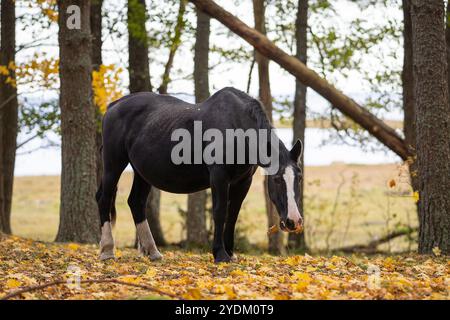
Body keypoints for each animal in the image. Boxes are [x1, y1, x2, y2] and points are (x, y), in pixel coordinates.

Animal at [96, 87, 304, 262]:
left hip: (143, 172)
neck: (236, 128)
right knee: (104, 198)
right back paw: (107, 250)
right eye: (277, 180)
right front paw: (220, 254)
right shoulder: (219, 176)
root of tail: (113, 106)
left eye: (299, 178)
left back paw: (153, 251)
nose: (293, 221)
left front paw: (230, 252)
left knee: (136, 202)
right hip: (114, 164)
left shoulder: (243, 181)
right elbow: (220, 212)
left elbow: (233, 214)